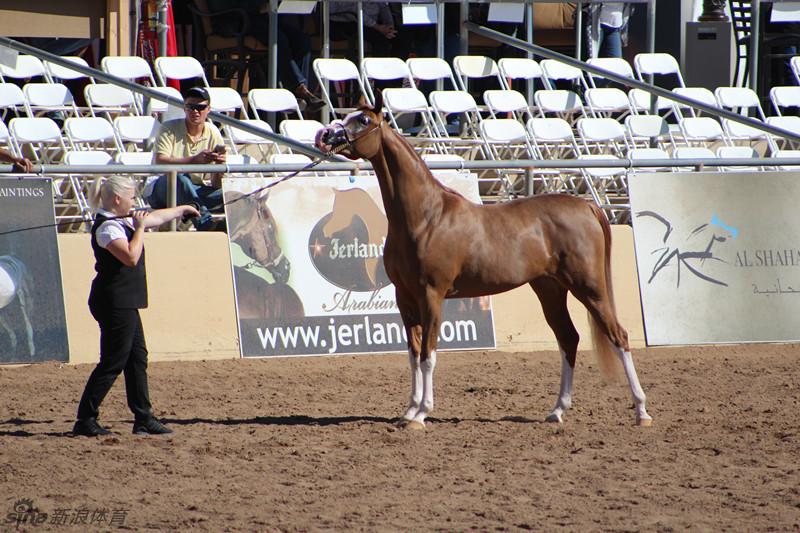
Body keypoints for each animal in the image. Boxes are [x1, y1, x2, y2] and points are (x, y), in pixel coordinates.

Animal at [316, 93, 652, 430]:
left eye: (363, 121)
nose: (325, 135)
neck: (425, 217)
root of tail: (587, 206)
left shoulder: (431, 295)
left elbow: (428, 355)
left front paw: (422, 413)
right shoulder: (405, 297)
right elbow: (413, 354)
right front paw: (409, 411)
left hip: (589, 287)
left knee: (618, 336)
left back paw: (641, 411)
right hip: (550, 289)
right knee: (569, 339)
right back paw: (557, 410)